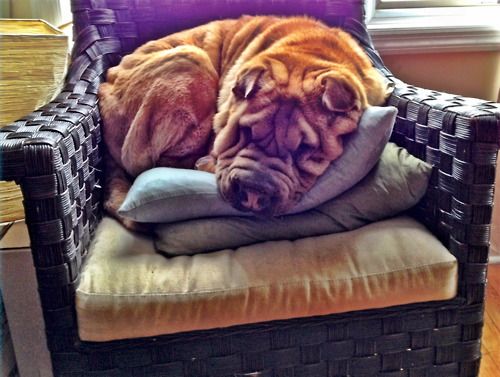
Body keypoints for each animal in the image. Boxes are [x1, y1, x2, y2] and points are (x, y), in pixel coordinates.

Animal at [97, 15, 386, 229]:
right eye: (244, 132)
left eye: (304, 149)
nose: (254, 194)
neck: (310, 56)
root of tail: (104, 85)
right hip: (191, 58)